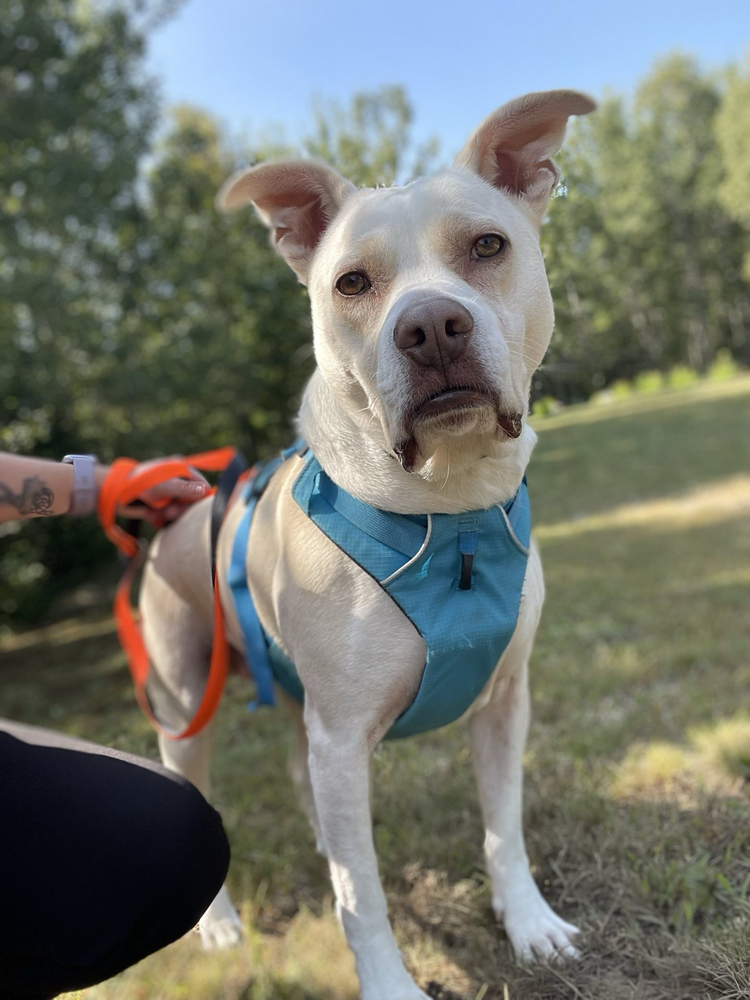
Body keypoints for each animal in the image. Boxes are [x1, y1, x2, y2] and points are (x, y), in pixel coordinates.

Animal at [138, 90, 600, 996]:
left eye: (487, 246)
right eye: (351, 282)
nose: (431, 326)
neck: (447, 511)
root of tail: (179, 511)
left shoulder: (505, 704)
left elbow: (504, 830)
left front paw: (529, 924)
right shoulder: (345, 739)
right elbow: (364, 896)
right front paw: (389, 982)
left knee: (304, 781)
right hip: (184, 713)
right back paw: (221, 925)